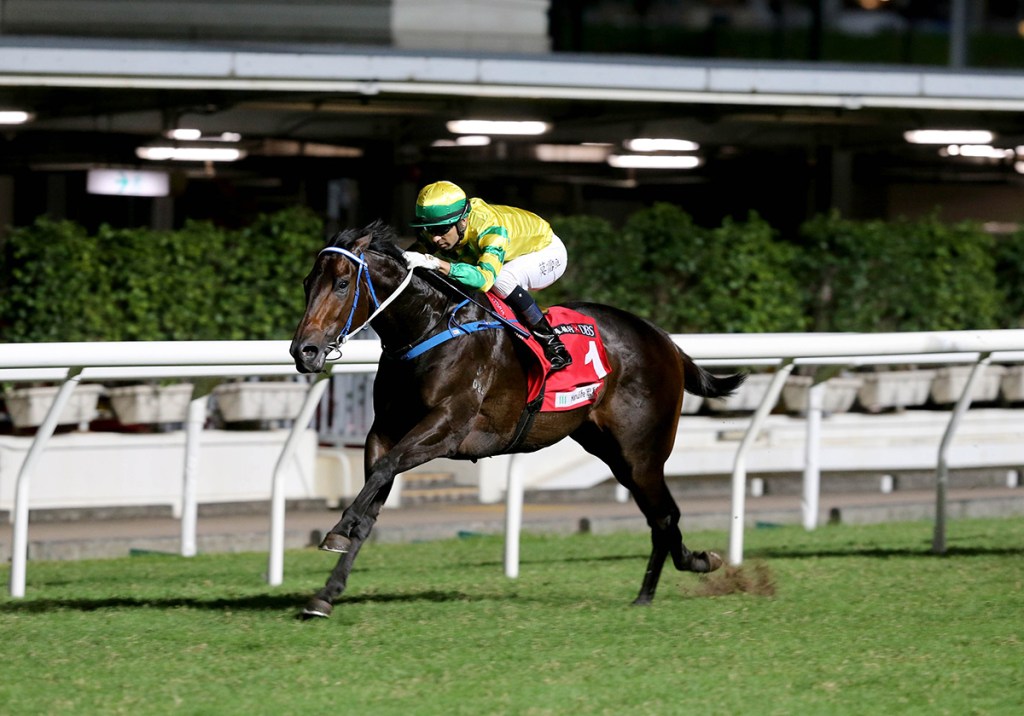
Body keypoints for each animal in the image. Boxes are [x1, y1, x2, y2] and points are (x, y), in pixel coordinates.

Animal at [290, 220, 745, 618]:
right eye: (308, 282)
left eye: (342, 284)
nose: (303, 351)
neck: (430, 327)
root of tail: (664, 339)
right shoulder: (385, 431)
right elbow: (371, 502)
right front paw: (326, 594)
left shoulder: (445, 429)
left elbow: (383, 472)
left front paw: (335, 531)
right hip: (610, 449)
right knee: (660, 516)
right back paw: (687, 568)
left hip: (642, 451)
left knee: (665, 514)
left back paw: (661, 586)